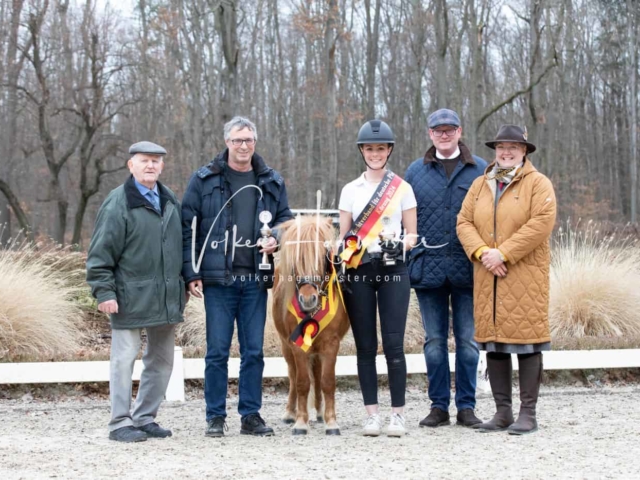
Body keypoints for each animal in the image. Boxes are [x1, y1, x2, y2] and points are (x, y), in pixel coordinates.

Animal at [272, 215, 350, 436]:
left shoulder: (331, 344)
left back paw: (320, 412)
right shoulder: (297, 345)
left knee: (316, 372)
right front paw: (300, 422)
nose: (308, 299)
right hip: (286, 345)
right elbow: (302, 382)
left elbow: (327, 381)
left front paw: (331, 422)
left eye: (323, 256)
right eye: (296, 260)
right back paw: (291, 413)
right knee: (293, 374)